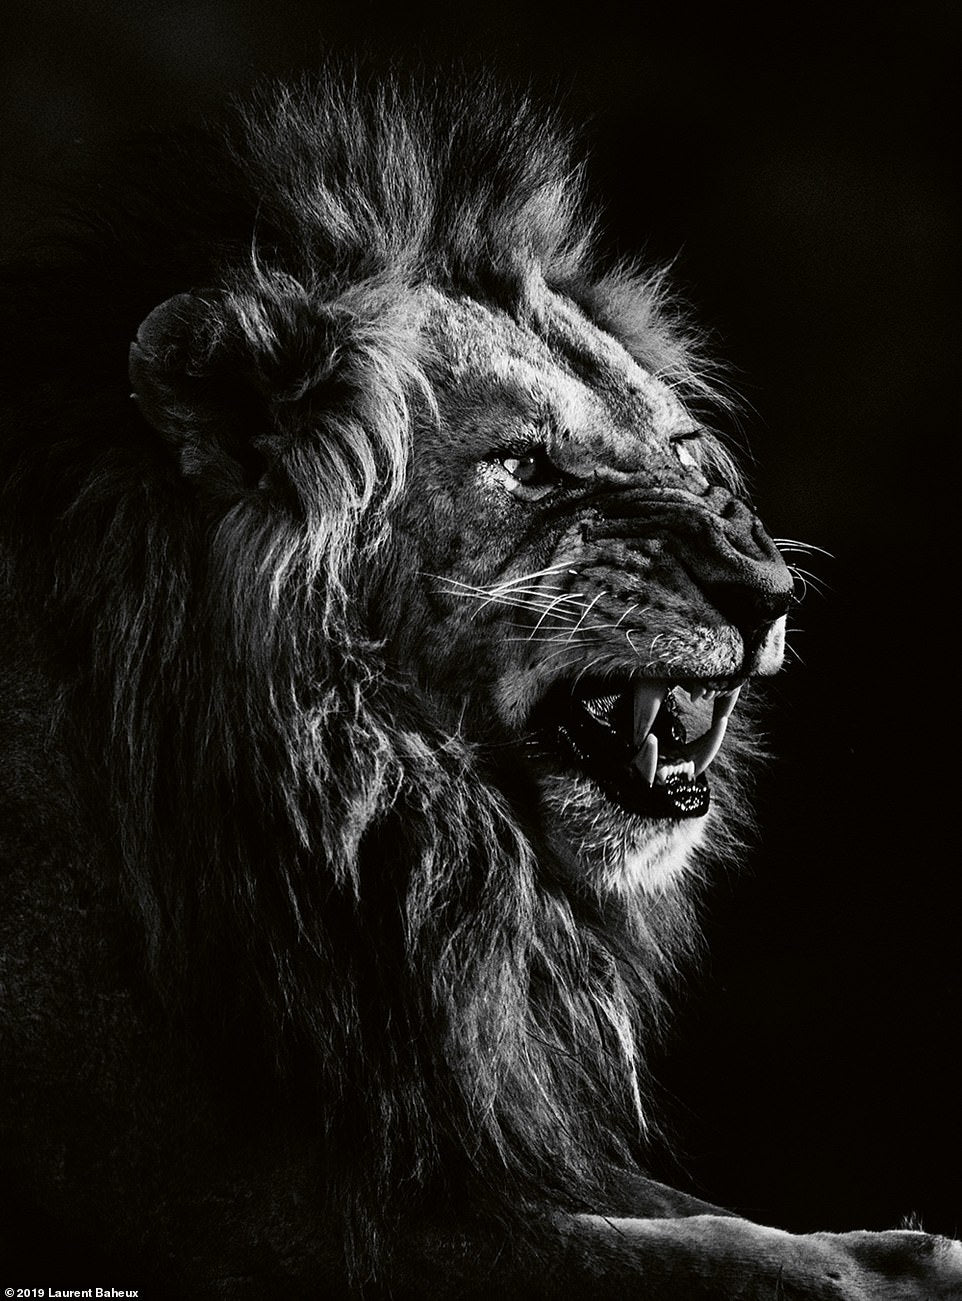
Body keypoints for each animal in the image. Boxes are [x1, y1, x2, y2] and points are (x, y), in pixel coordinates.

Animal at [0, 69, 959, 1298]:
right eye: (523, 466)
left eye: (682, 455)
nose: (768, 591)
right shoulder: (220, 1192)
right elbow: (664, 1251)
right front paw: (881, 1272)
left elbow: (676, 1213)